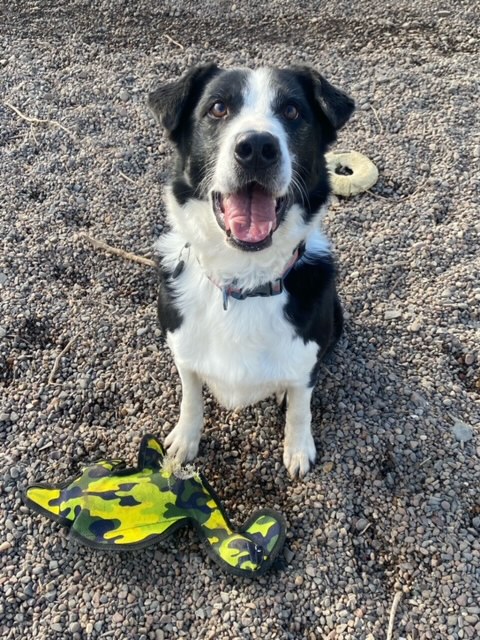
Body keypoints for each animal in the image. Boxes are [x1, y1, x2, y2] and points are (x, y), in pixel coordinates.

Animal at [148, 63, 354, 476]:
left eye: (292, 111)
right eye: (217, 108)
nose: (257, 147)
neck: (244, 280)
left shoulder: (307, 358)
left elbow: (301, 406)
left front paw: (297, 448)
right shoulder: (182, 346)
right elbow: (191, 394)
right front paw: (185, 439)